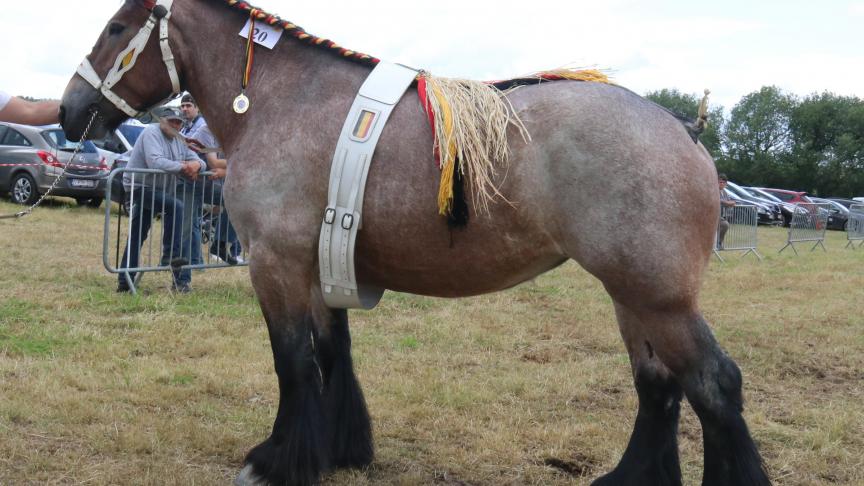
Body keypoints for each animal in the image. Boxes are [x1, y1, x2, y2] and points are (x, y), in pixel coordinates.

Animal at [62, 0, 768, 486]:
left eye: (117, 28)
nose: (70, 113)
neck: (287, 103)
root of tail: (684, 130)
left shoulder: (275, 264)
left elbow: (294, 362)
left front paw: (276, 461)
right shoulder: (320, 268)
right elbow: (332, 354)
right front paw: (340, 452)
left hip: (658, 297)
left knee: (713, 384)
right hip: (631, 295)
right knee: (660, 386)